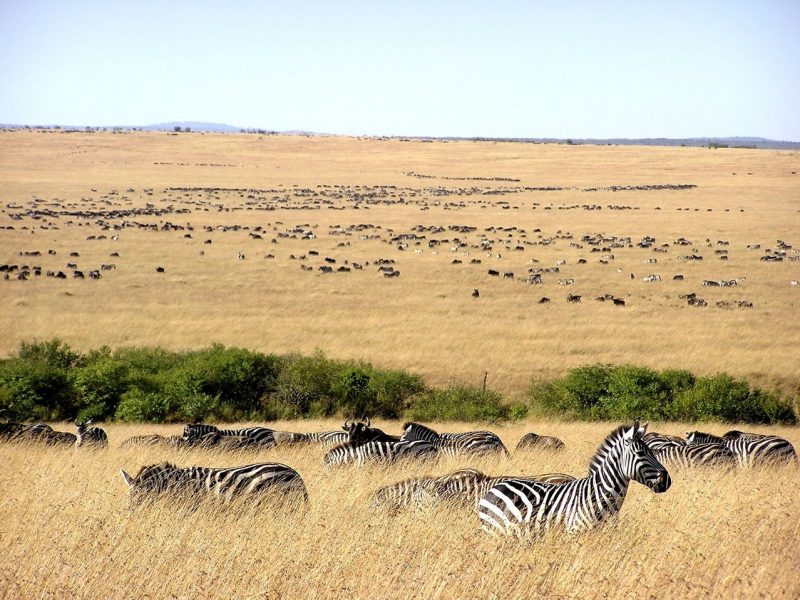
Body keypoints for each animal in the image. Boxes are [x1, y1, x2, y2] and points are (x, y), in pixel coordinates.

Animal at [478, 422, 672, 536]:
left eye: (652, 451)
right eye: (640, 453)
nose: (667, 481)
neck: (599, 495)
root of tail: (494, 488)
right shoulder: (576, 533)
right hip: (494, 531)